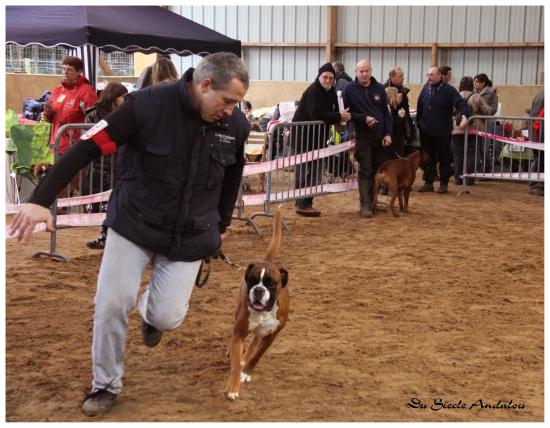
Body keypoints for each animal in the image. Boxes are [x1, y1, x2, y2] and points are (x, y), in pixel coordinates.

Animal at [225, 205, 289, 401]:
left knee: (255, 340)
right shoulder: (239, 333)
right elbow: (235, 365)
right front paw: (233, 387)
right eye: (252, 280)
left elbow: (258, 355)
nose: (259, 290)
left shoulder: (271, 336)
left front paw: (247, 371)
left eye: (271, 283)